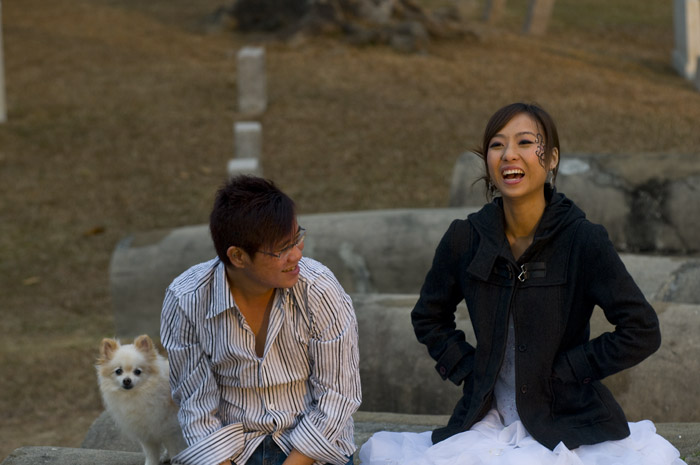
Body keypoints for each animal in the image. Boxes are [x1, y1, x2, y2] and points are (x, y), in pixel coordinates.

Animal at [97, 334, 189, 464]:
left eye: (137, 371)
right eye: (118, 371)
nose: (127, 380)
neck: (137, 396)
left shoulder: (171, 431)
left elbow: (175, 452)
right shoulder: (147, 434)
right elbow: (151, 454)